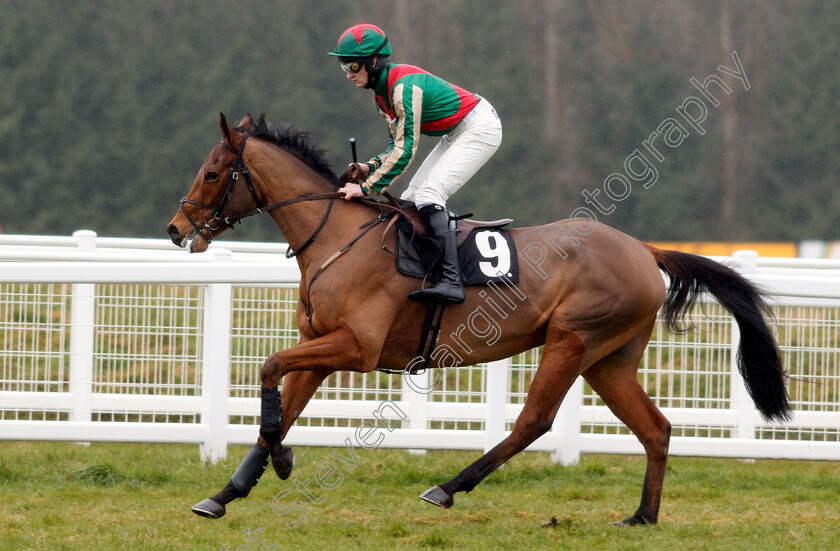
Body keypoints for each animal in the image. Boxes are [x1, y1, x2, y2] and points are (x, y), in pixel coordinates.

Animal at [164, 113, 788, 528]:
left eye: (214, 172)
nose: (175, 229)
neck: (337, 236)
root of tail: (644, 249)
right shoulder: (320, 343)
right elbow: (280, 408)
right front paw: (226, 493)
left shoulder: (356, 347)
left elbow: (270, 372)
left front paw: (284, 462)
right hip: (608, 361)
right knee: (656, 428)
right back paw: (643, 516)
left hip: (571, 341)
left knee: (534, 421)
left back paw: (447, 487)